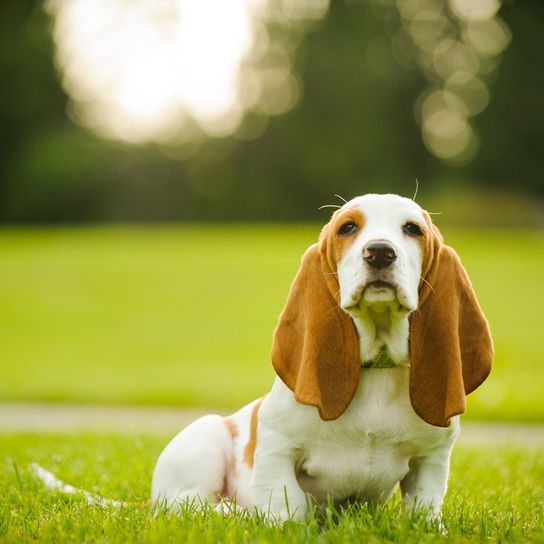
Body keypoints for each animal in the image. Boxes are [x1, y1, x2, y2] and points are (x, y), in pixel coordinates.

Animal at [152, 193, 492, 520]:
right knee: (186, 504)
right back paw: (234, 512)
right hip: (206, 438)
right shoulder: (278, 447)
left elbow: (424, 507)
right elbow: (287, 504)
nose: (380, 252)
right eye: (348, 228)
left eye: (412, 229)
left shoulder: (432, 458)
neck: (376, 368)